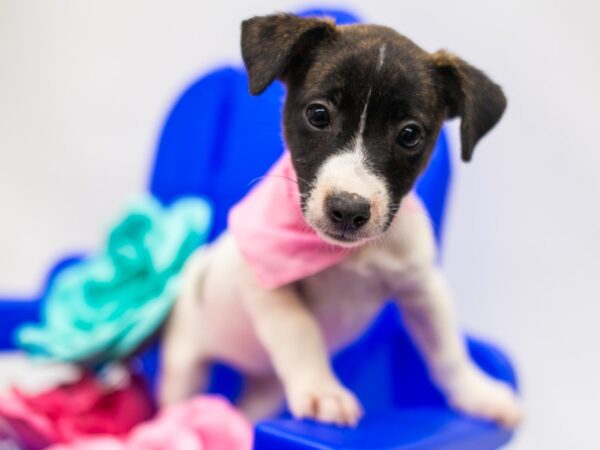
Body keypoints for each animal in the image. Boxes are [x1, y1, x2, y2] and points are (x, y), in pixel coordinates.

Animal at [158, 13, 520, 428]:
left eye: (410, 134)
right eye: (319, 114)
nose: (348, 210)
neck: (345, 255)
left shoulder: (422, 286)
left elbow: (448, 350)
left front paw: (479, 394)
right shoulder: (262, 283)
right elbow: (299, 329)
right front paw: (323, 391)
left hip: (266, 391)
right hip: (185, 362)